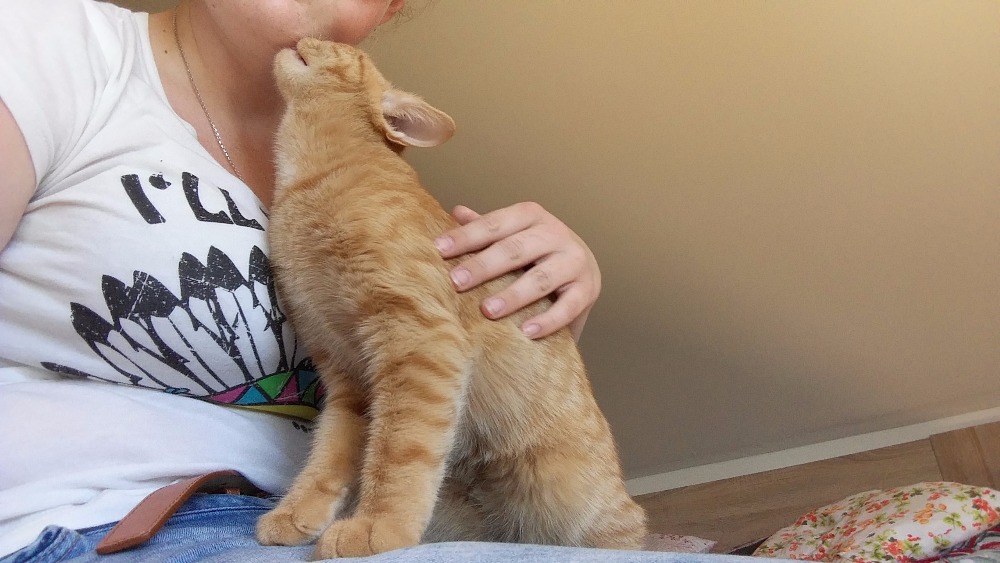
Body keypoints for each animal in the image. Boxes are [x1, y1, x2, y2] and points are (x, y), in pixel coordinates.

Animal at [255, 37, 647, 559]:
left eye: (341, 47)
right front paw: (297, 511)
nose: (305, 37)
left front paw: (378, 527)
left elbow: (398, 453)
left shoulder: (418, 337)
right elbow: (329, 454)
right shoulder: (344, 375)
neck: (305, 182)